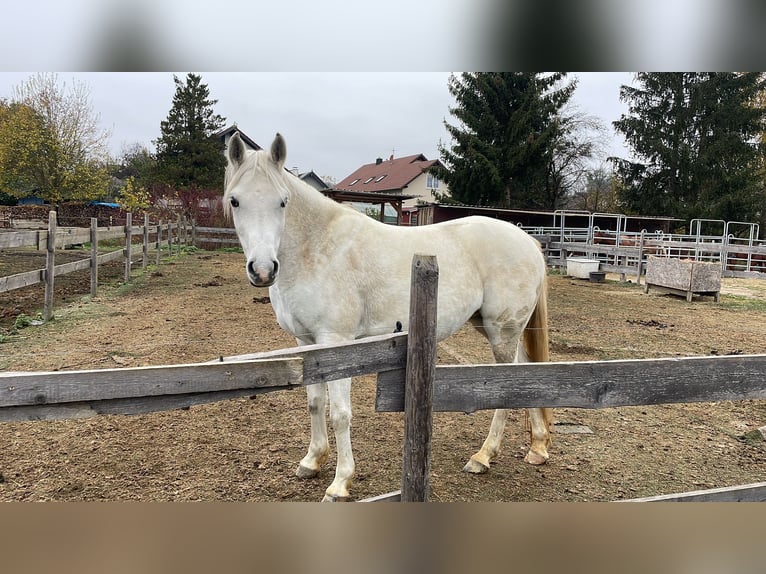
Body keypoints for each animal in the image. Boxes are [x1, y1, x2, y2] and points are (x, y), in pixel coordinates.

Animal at [222, 133, 552, 502]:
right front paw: (311, 461)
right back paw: (538, 448)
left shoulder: (336, 342)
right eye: (235, 201)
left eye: (283, 202)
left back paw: (483, 457)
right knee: (528, 372)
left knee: (507, 386)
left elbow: (340, 414)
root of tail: (528, 241)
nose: (263, 270)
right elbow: (315, 402)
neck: (317, 249)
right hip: (501, 329)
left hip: (502, 332)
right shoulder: (307, 342)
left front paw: (340, 482)